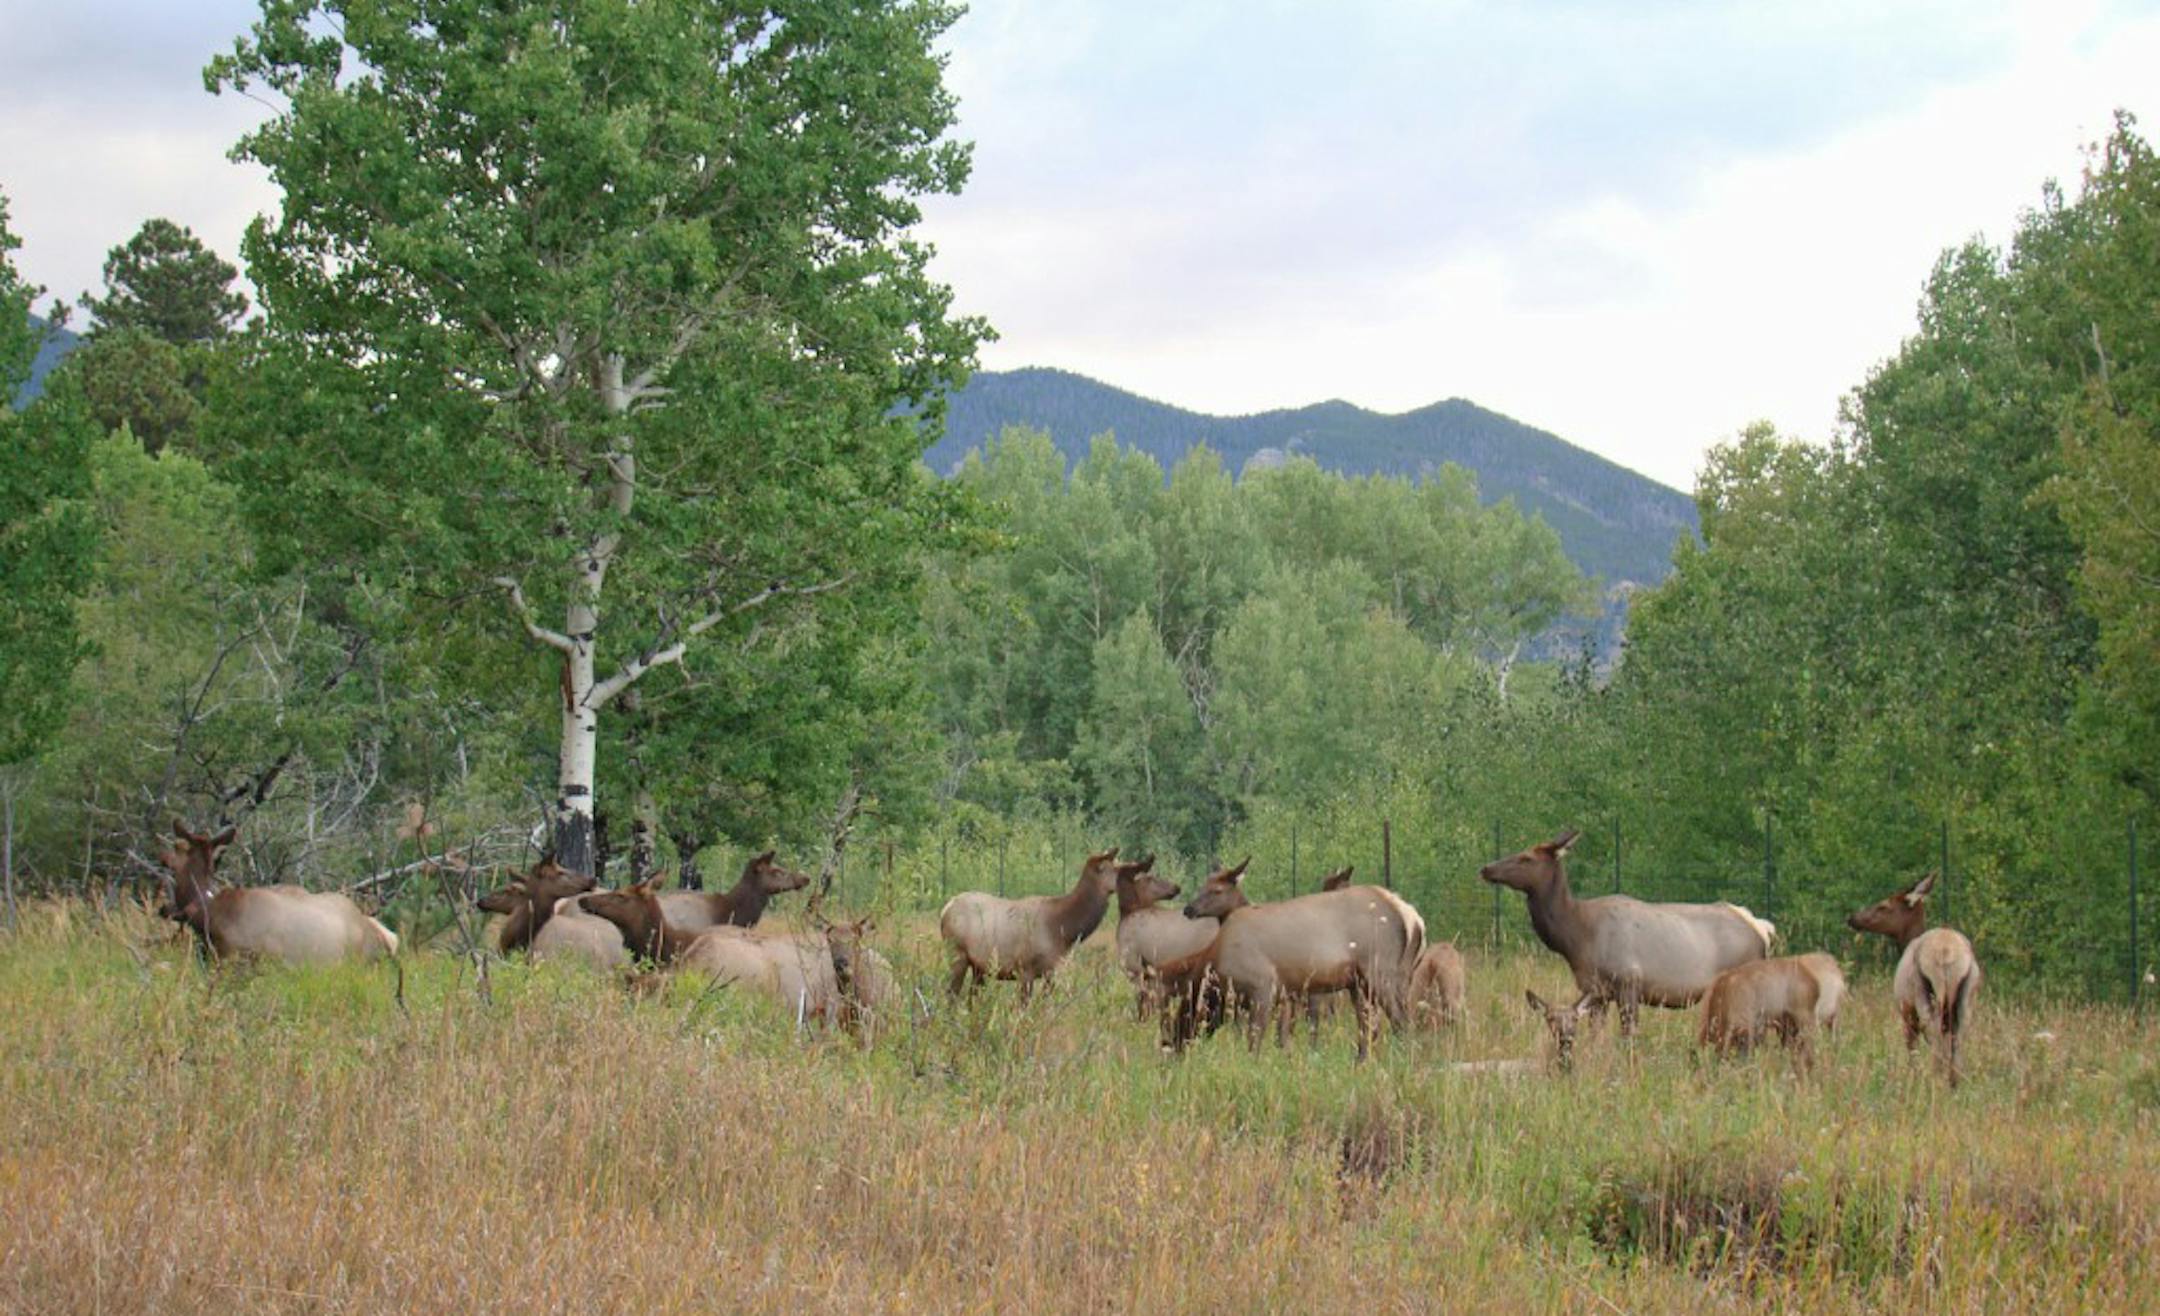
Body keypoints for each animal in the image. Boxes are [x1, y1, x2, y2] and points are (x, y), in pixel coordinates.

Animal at [940, 847, 1150, 1001]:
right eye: (1118, 869)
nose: (1144, 869)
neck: (1064, 930)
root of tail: (945, 909)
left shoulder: (1052, 971)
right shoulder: (1025, 969)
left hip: (978, 966)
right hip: (957, 954)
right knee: (951, 995)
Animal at [1178, 858, 1426, 1059]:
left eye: (1217, 890)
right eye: (1201, 886)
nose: (1188, 909)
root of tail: (1413, 918)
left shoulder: (1274, 990)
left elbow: (1269, 1036)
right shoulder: (1290, 994)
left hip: (1379, 971)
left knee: (1399, 1021)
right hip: (1372, 981)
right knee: (1373, 1025)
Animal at [1479, 829, 1774, 1035]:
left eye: (1526, 857)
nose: (1486, 868)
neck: (1576, 938)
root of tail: (1762, 929)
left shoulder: (1629, 983)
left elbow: (1628, 1038)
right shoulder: (1595, 992)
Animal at [1847, 872, 1981, 1086]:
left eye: (1883, 905)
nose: (1852, 918)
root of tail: (1947, 953)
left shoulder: (1905, 1011)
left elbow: (1912, 1051)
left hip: (1923, 995)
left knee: (1935, 1037)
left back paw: (1935, 1078)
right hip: (1966, 997)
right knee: (1957, 1040)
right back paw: (1954, 1081)